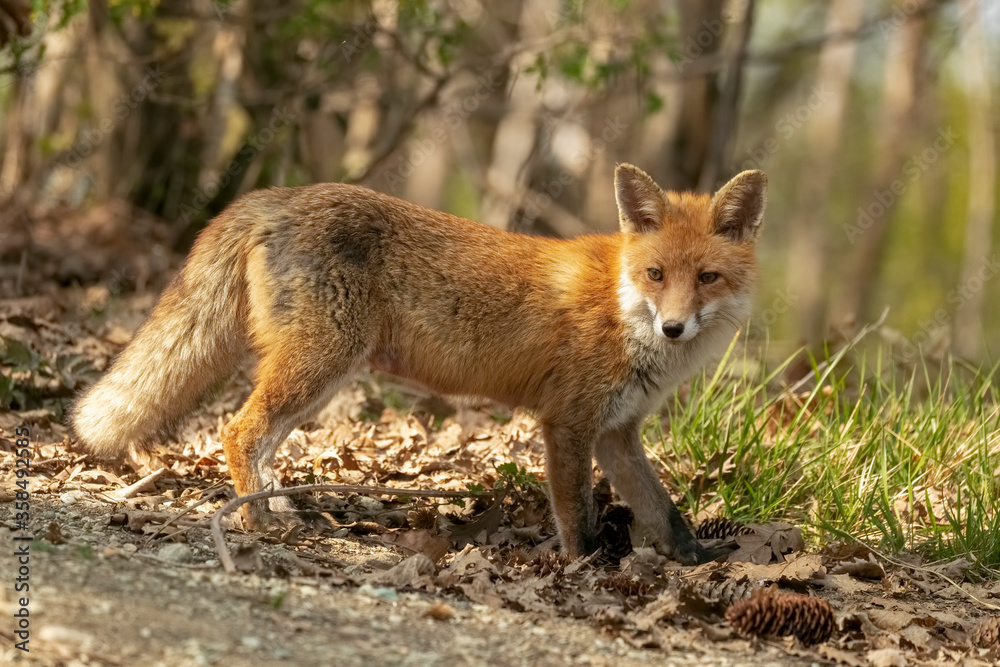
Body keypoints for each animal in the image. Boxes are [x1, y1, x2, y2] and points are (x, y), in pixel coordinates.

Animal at [70, 166, 764, 564]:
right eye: (656, 274)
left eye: (707, 278)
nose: (674, 326)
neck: (624, 308)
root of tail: (279, 195)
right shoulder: (568, 423)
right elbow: (577, 516)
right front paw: (582, 570)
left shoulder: (617, 432)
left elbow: (662, 509)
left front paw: (696, 559)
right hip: (321, 364)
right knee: (237, 430)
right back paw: (258, 519)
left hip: (322, 375)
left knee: (259, 439)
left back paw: (279, 508)